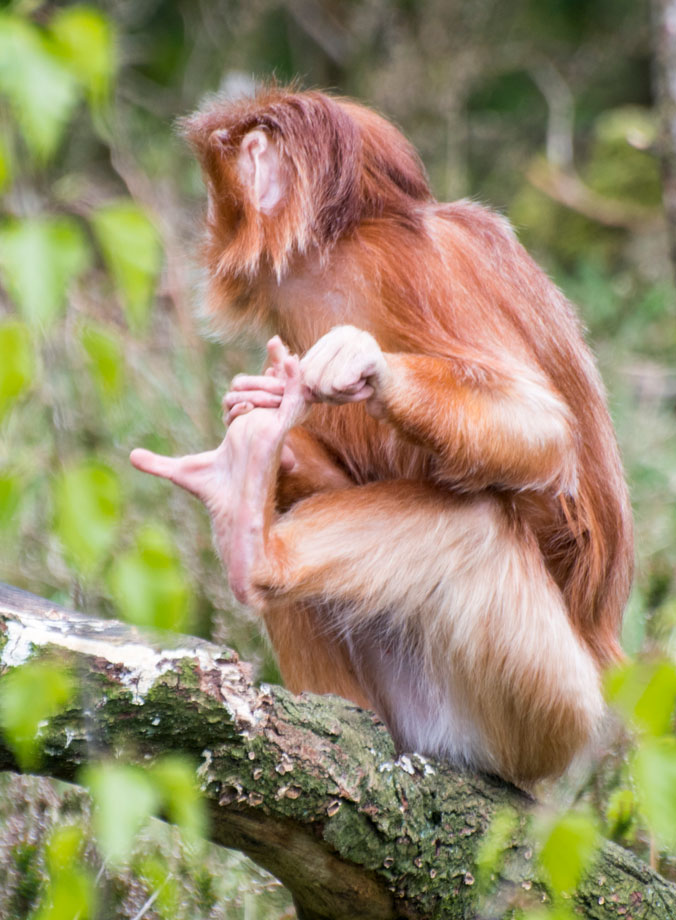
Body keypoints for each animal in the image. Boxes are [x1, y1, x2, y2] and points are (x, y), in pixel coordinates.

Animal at [131, 86, 632, 788]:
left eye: (211, 196)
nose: (203, 223)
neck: (336, 248)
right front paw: (277, 433)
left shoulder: (406, 267)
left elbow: (542, 425)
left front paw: (367, 368)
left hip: (552, 711)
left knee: (476, 525)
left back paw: (257, 544)